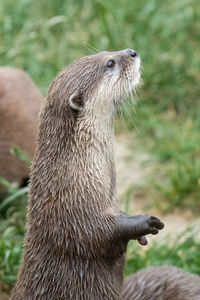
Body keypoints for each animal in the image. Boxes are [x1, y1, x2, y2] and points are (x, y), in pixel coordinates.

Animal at [11, 49, 164, 300]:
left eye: (104, 52)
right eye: (109, 63)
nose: (132, 52)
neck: (75, 167)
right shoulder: (72, 202)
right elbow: (97, 233)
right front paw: (144, 222)